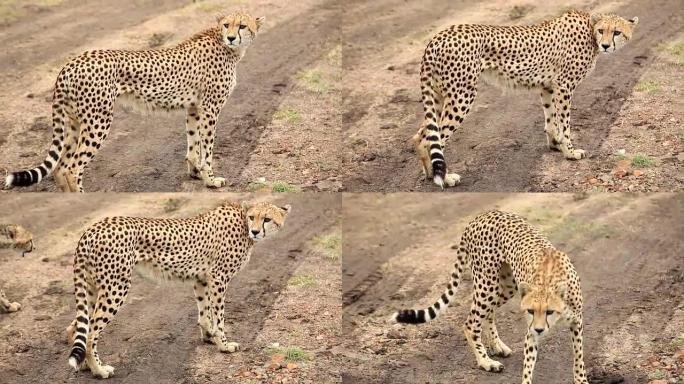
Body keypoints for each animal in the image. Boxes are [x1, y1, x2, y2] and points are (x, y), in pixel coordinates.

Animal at [4, 10, 264, 192]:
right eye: (226, 25)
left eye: (242, 26)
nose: (231, 37)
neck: (226, 47)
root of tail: (71, 62)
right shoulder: (209, 109)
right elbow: (207, 148)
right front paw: (210, 180)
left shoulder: (194, 107)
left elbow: (193, 144)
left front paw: (196, 173)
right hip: (98, 121)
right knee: (73, 169)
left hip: (75, 122)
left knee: (61, 168)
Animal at [63, 201, 288, 378]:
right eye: (253, 217)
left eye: (267, 219)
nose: (256, 231)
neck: (242, 223)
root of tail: (91, 229)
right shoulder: (218, 278)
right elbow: (219, 316)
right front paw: (224, 345)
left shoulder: (202, 278)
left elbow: (204, 312)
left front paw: (208, 336)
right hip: (115, 287)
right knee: (90, 333)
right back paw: (99, 370)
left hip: (94, 287)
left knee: (77, 327)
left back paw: (85, 366)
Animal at [392, 212, 584, 384]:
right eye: (530, 311)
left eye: (549, 311)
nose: (539, 329)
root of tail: (480, 216)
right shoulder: (531, 329)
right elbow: (529, 364)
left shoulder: (577, 321)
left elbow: (579, 356)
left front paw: (581, 379)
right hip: (487, 284)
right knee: (471, 323)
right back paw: (486, 361)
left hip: (508, 285)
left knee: (488, 313)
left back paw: (497, 346)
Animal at [412, 10, 640, 188]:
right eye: (602, 31)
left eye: (617, 32)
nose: (606, 45)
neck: (590, 31)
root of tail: (437, 37)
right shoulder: (564, 86)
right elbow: (564, 123)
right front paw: (570, 152)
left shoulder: (549, 86)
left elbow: (551, 119)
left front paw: (555, 145)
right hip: (462, 94)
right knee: (434, 138)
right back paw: (445, 178)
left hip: (440, 95)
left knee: (422, 135)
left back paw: (431, 174)